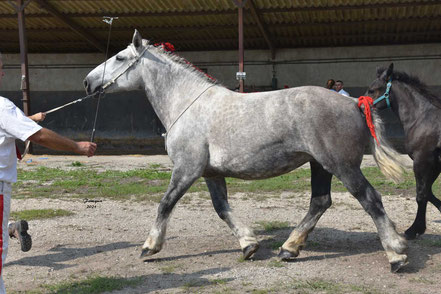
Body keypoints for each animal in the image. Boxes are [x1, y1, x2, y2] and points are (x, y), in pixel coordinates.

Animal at [84, 29, 408, 272]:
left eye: (120, 57)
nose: (88, 82)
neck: (187, 103)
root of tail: (354, 102)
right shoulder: (210, 173)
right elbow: (222, 208)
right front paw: (249, 244)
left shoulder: (186, 168)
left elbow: (165, 203)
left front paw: (150, 246)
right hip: (320, 165)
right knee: (320, 202)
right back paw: (289, 248)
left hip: (342, 166)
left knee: (370, 199)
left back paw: (396, 253)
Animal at [364, 63, 440, 240]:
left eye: (372, 90)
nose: (360, 105)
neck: (423, 118)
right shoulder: (434, 165)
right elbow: (428, 192)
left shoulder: (421, 161)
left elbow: (421, 194)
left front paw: (414, 229)